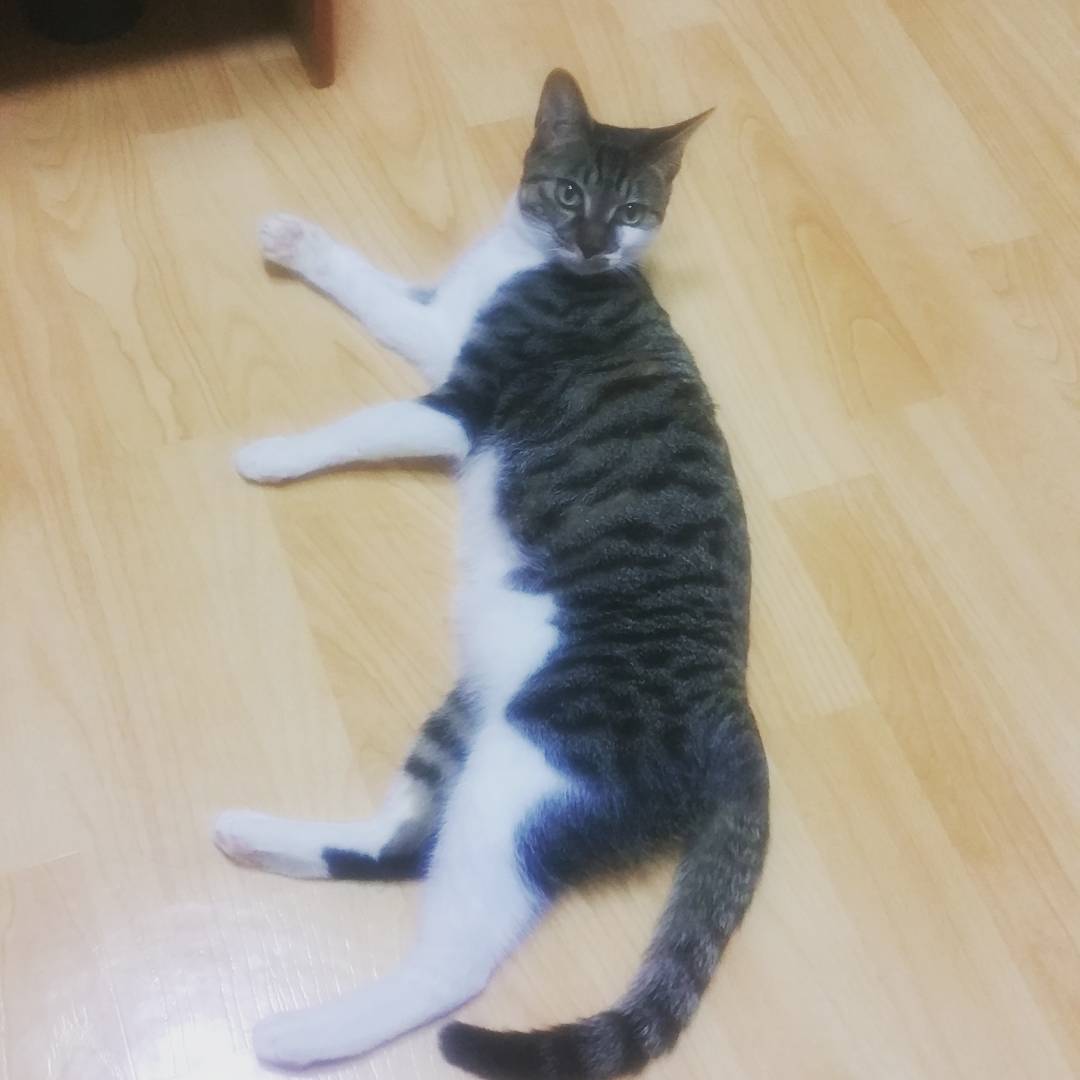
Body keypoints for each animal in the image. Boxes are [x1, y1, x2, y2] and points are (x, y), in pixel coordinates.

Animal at [213, 69, 769, 1079]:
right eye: (569, 193)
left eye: (632, 210)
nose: (593, 242)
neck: (530, 261)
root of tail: (732, 716)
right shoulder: (438, 320)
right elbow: (379, 289)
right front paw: (298, 240)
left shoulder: (459, 397)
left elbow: (367, 420)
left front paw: (272, 454)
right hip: (475, 706)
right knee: (399, 843)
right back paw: (252, 835)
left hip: (531, 771)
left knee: (455, 962)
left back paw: (298, 1035)